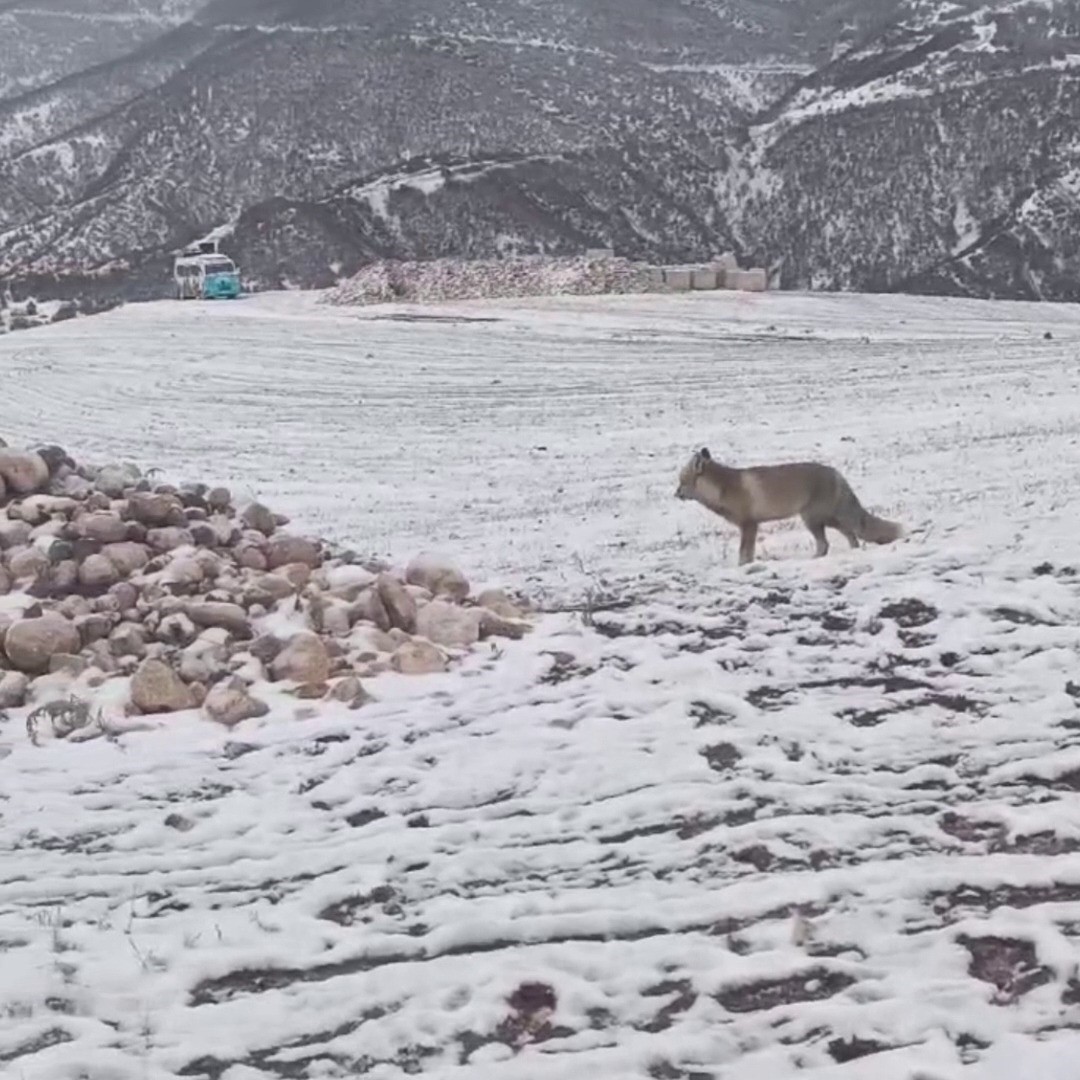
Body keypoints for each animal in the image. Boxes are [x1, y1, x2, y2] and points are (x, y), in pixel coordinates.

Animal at [673, 447, 902, 565]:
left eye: (681, 482)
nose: (675, 494)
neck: (723, 489)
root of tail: (836, 473)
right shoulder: (750, 526)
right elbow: (748, 554)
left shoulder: (749, 525)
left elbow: (744, 554)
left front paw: (743, 569)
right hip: (828, 520)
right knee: (851, 537)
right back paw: (852, 553)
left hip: (813, 519)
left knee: (826, 544)